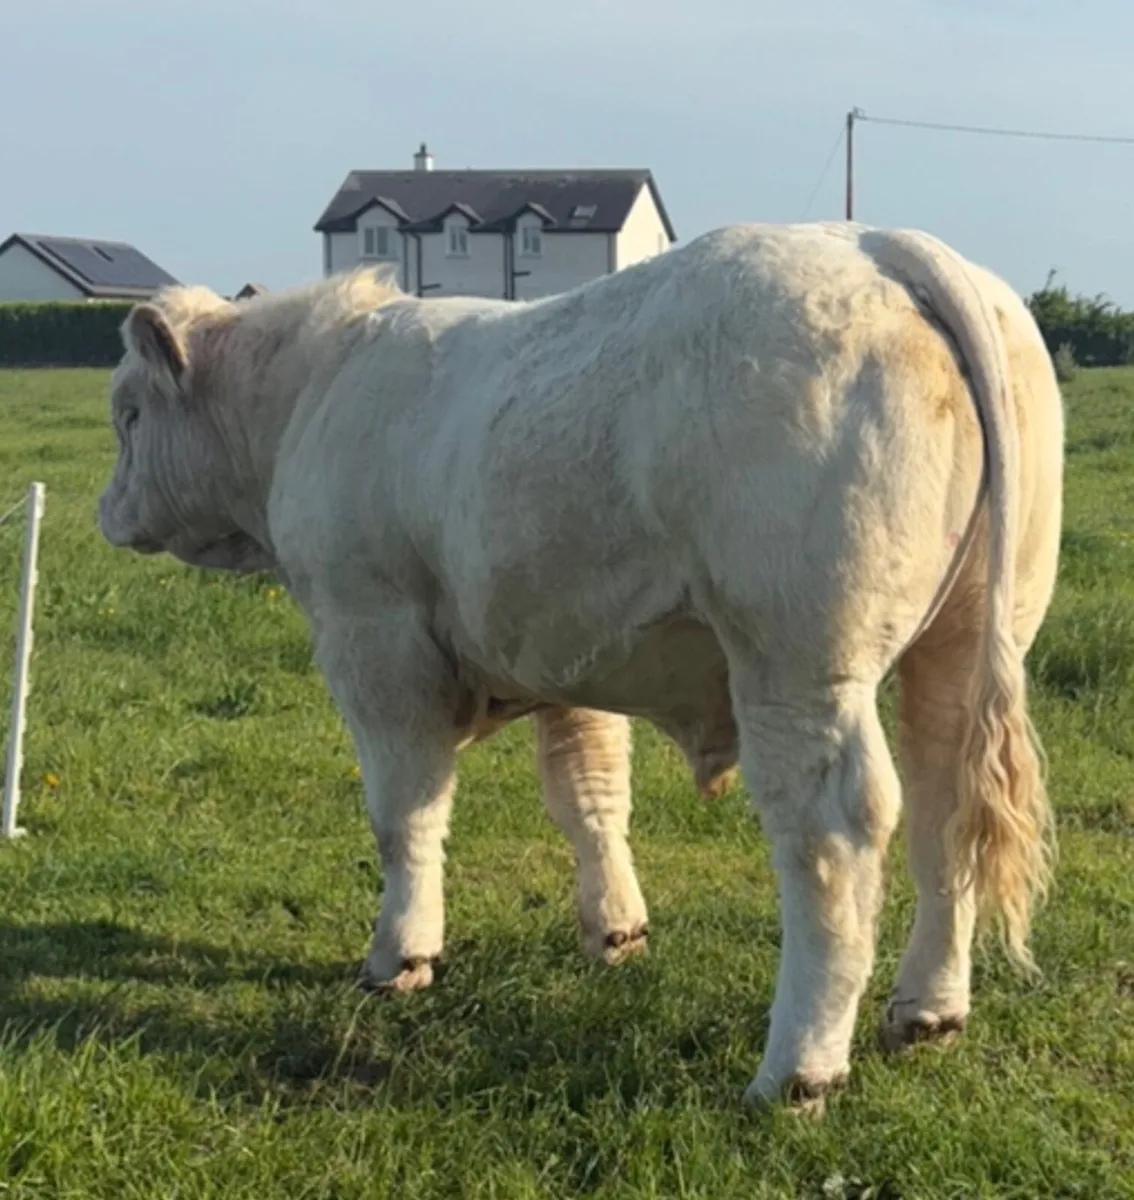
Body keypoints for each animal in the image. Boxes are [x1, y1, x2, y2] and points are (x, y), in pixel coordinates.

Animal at [97, 221, 1064, 1112]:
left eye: (130, 413)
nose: (107, 510)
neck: (313, 394)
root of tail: (877, 243)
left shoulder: (372, 637)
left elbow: (405, 810)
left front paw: (400, 952)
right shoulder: (566, 650)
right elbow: (589, 794)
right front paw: (616, 930)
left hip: (799, 659)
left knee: (834, 833)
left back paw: (797, 1070)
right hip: (968, 638)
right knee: (947, 805)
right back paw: (929, 1010)